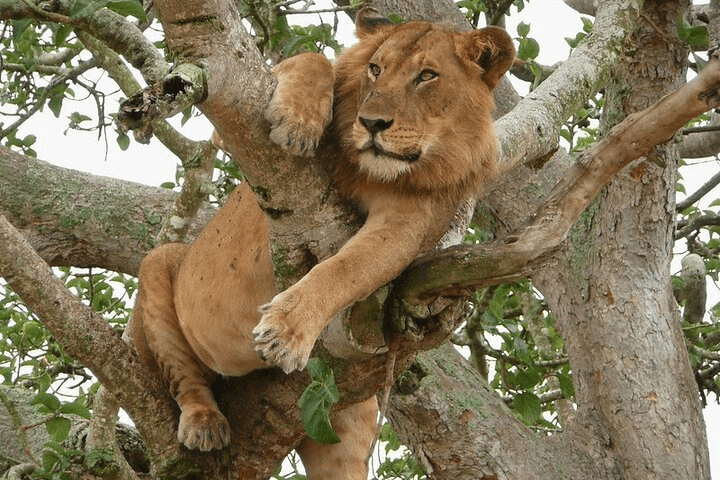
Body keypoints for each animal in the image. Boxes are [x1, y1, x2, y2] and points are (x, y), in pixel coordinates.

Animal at [130, 8, 514, 479]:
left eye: (427, 76)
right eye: (376, 69)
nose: (372, 124)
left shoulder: (409, 222)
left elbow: (345, 269)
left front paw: (286, 330)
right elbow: (315, 60)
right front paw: (298, 123)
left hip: (346, 426)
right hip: (159, 266)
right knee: (183, 375)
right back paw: (204, 423)